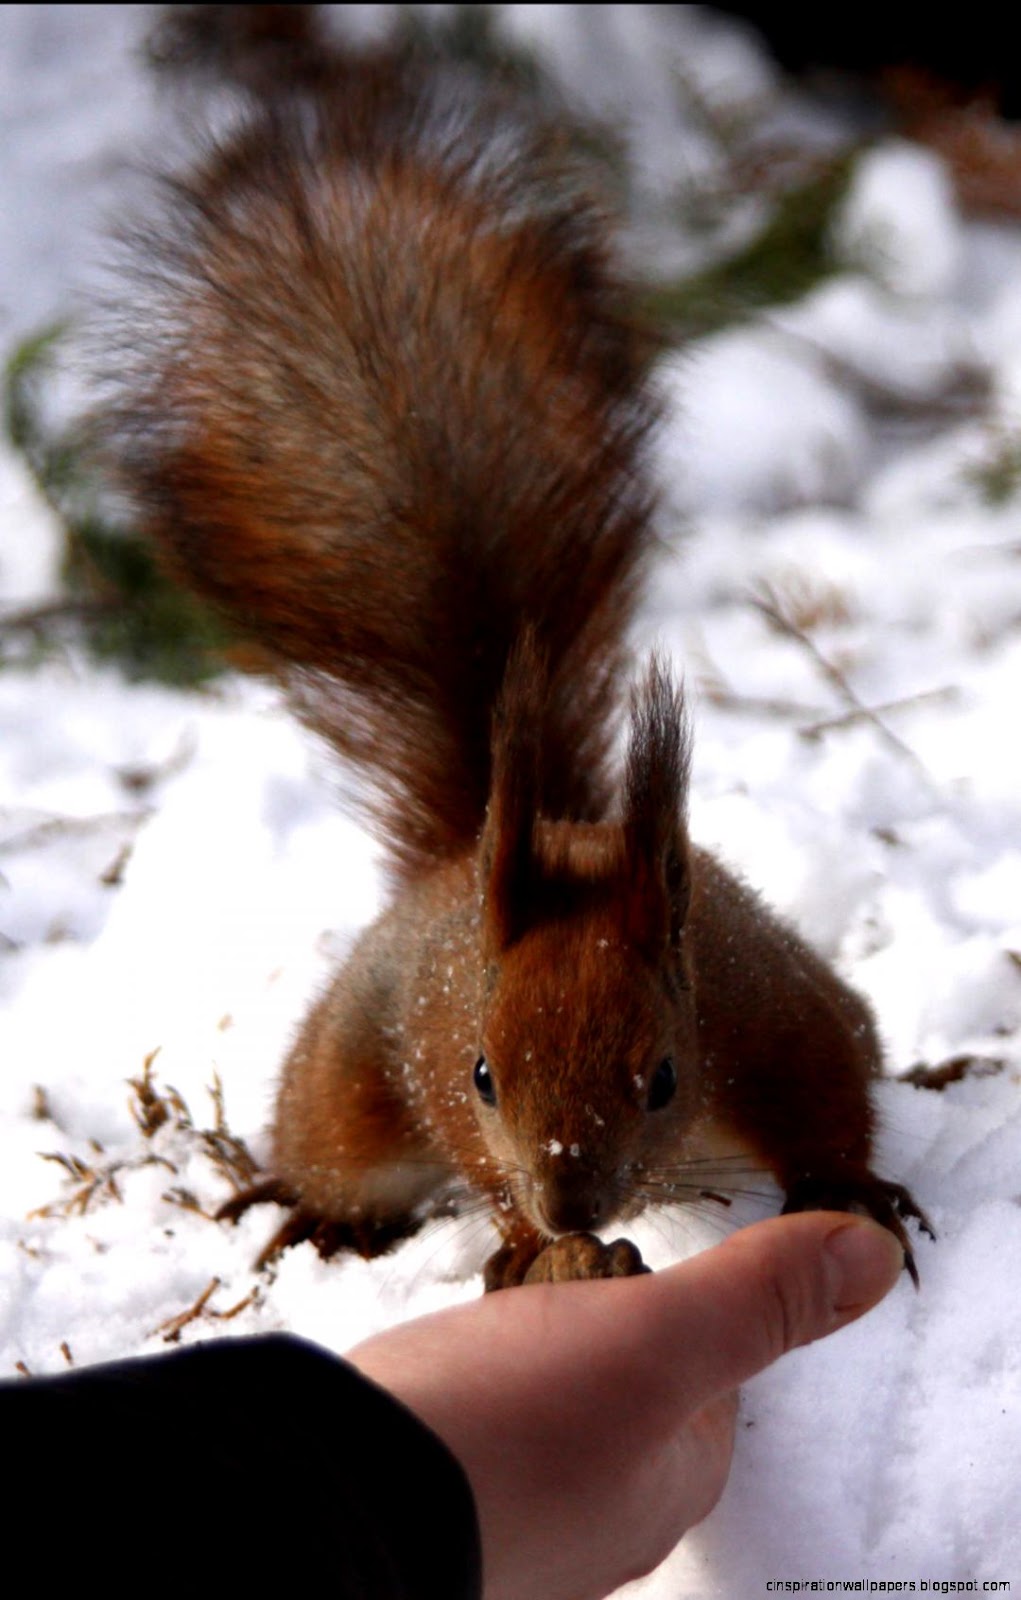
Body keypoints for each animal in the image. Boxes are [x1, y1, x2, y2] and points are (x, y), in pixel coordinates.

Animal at [102, 57, 931, 1292]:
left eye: (662, 1077)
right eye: (486, 1076)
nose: (566, 1202)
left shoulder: (776, 1019)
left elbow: (834, 1094)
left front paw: (847, 1186)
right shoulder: (445, 1064)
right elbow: (474, 1160)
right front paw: (526, 1255)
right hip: (347, 1075)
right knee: (336, 1147)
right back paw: (321, 1216)